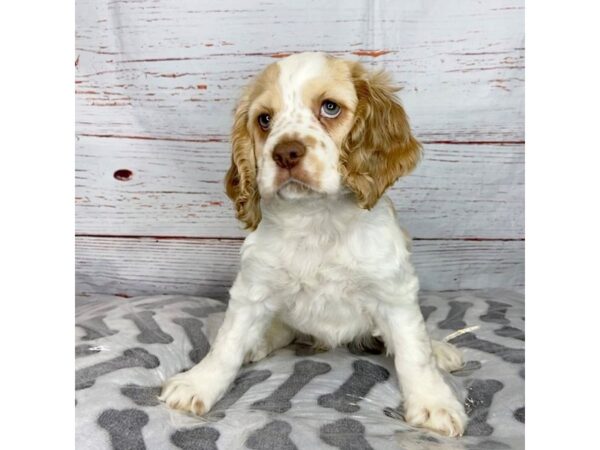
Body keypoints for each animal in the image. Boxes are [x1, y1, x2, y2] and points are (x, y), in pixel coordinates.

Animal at [161, 51, 468, 436]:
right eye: (264, 119)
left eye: (330, 108)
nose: (286, 153)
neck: (316, 217)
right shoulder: (253, 289)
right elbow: (228, 343)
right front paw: (199, 383)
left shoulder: (393, 292)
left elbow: (414, 351)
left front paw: (432, 402)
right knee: (280, 331)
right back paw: (257, 343)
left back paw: (440, 350)